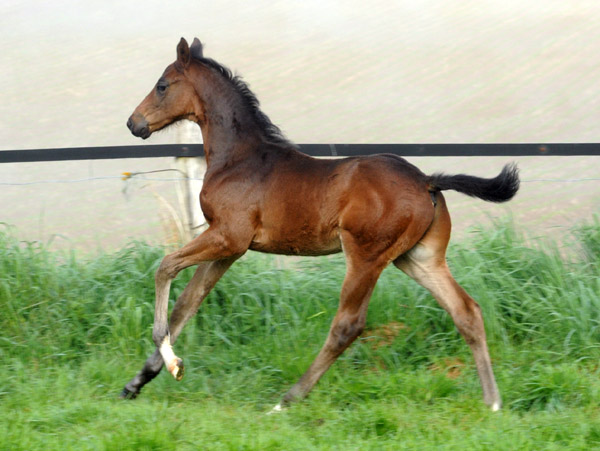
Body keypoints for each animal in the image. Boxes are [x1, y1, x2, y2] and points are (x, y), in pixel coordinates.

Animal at [122, 38, 516, 414]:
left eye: (162, 85)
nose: (133, 123)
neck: (238, 159)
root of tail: (427, 181)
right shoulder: (229, 249)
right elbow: (187, 303)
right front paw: (139, 381)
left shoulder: (227, 237)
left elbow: (165, 267)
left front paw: (171, 362)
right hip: (419, 258)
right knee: (466, 311)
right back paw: (493, 402)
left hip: (366, 257)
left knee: (347, 325)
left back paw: (287, 400)